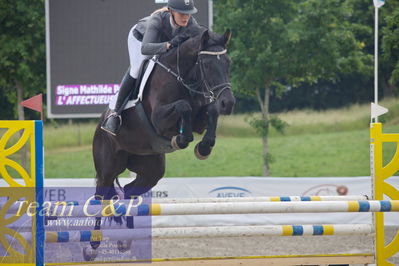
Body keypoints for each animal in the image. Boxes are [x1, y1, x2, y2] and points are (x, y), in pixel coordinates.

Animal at [85, 28, 234, 260]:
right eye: (207, 65)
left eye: (228, 63)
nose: (229, 102)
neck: (185, 77)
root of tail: (100, 124)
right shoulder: (159, 119)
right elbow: (183, 107)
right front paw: (181, 138)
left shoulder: (200, 117)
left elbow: (211, 110)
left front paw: (203, 147)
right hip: (107, 168)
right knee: (101, 196)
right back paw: (92, 246)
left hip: (150, 169)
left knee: (129, 191)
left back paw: (125, 240)